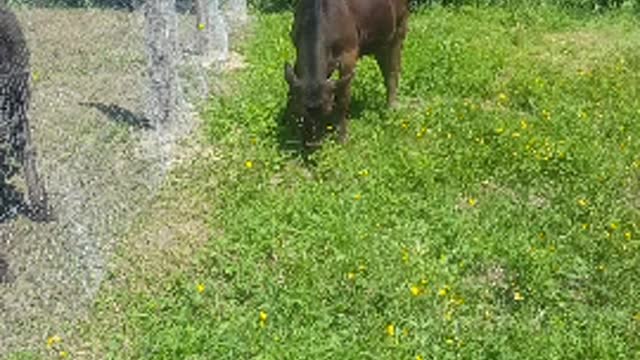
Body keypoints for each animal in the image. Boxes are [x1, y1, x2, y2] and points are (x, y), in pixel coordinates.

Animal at [286, 0, 410, 148]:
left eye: (327, 110)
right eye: (301, 110)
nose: (312, 143)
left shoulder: (348, 56)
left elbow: (342, 97)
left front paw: (342, 137)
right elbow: (290, 92)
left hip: (399, 30)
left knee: (392, 71)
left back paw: (391, 107)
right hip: (380, 40)